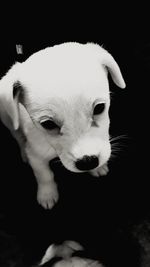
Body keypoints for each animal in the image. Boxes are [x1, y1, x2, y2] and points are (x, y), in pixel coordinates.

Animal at [0, 42, 125, 209]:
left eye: (99, 108)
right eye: (48, 124)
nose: (88, 162)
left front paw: (98, 167)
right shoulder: (36, 156)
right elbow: (44, 175)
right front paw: (47, 194)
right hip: (8, 120)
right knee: (18, 137)